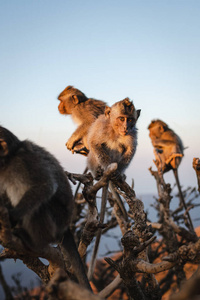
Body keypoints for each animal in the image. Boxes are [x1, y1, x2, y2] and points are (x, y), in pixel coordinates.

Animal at [0, 125, 91, 290]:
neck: (8, 159)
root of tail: (65, 227)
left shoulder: (24, 162)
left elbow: (44, 186)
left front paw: (12, 217)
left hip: (55, 220)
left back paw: (33, 240)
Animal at [86, 97, 141, 278]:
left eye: (130, 120)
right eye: (121, 118)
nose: (125, 127)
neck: (115, 131)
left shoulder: (132, 135)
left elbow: (129, 150)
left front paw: (119, 173)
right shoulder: (101, 128)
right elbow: (94, 143)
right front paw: (110, 168)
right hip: (92, 162)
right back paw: (101, 172)